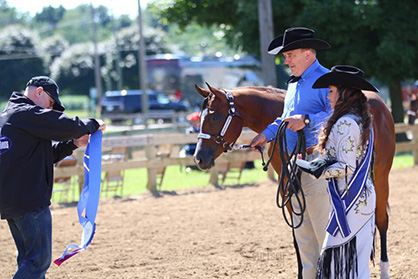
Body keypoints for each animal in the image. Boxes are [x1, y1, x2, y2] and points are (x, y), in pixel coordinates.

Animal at [193, 84, 396, 276]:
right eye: (201, 118)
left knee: (381, 220)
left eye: (214, 117)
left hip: (381, 177)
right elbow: (297, 238)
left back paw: (384, 269)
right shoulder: (287, 189)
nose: (199, 158)